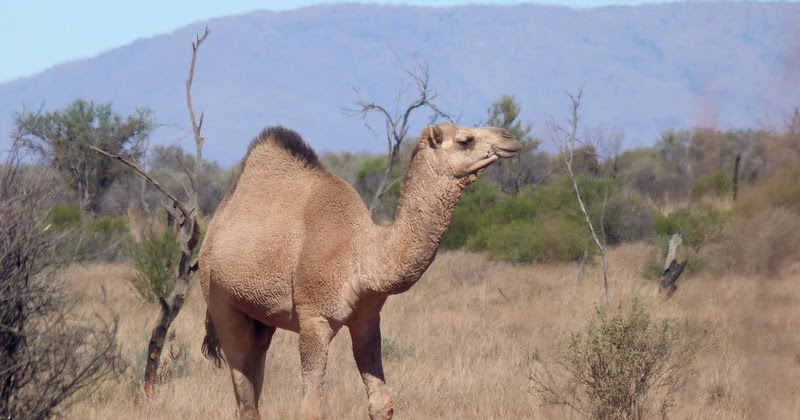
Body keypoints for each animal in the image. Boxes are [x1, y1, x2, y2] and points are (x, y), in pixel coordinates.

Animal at [199, 123, 520, 420]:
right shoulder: (314, 319)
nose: (511, 138)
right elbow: (311, 409)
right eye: (466, 140)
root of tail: (214, 226)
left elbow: (382, 405)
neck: (361, 257)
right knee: (245, 394)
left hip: (261, 317)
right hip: (218, 298)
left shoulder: (366, 317)